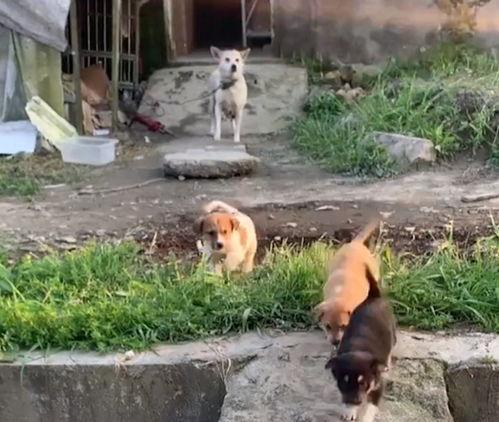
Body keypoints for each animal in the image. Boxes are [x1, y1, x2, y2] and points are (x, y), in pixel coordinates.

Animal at [325, 268, 397, 422]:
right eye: (344, 382)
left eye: (362, 383)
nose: (354, 401)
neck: (358, 349)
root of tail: (374, 296)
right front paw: (349, 411)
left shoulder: (378, 386)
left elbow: (370, 407)